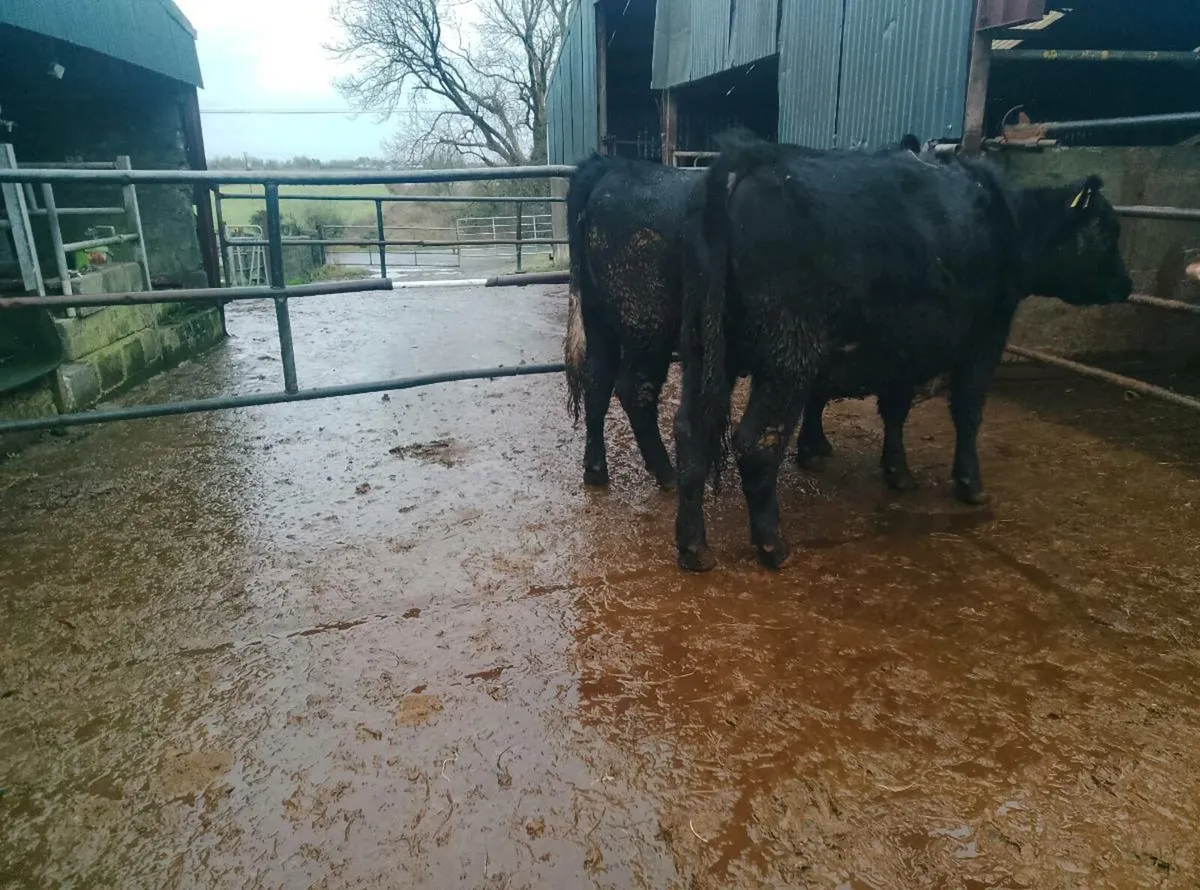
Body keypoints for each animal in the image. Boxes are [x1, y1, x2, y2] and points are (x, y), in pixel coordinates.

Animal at [564, 133, 926, 491]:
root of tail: (611, 167)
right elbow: (890, 405)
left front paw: (814, 446)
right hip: (647, 324)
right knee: (634, 389)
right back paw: (665, 472)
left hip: (599, 317)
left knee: (597, 380)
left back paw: (595, 469)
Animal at [673, 142, 1132, 572]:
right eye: (1109, 231)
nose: (1127, 286)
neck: (1009, 222)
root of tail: (747, 159)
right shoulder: (984, 337)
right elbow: (966, 411)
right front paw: (969, 483)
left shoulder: (901, 348)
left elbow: (894, 410)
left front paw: (897, 471)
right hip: (787, 358)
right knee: (757, 443)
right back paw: (774, 546)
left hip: (703, 352)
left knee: (689, 433)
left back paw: (694, 547)